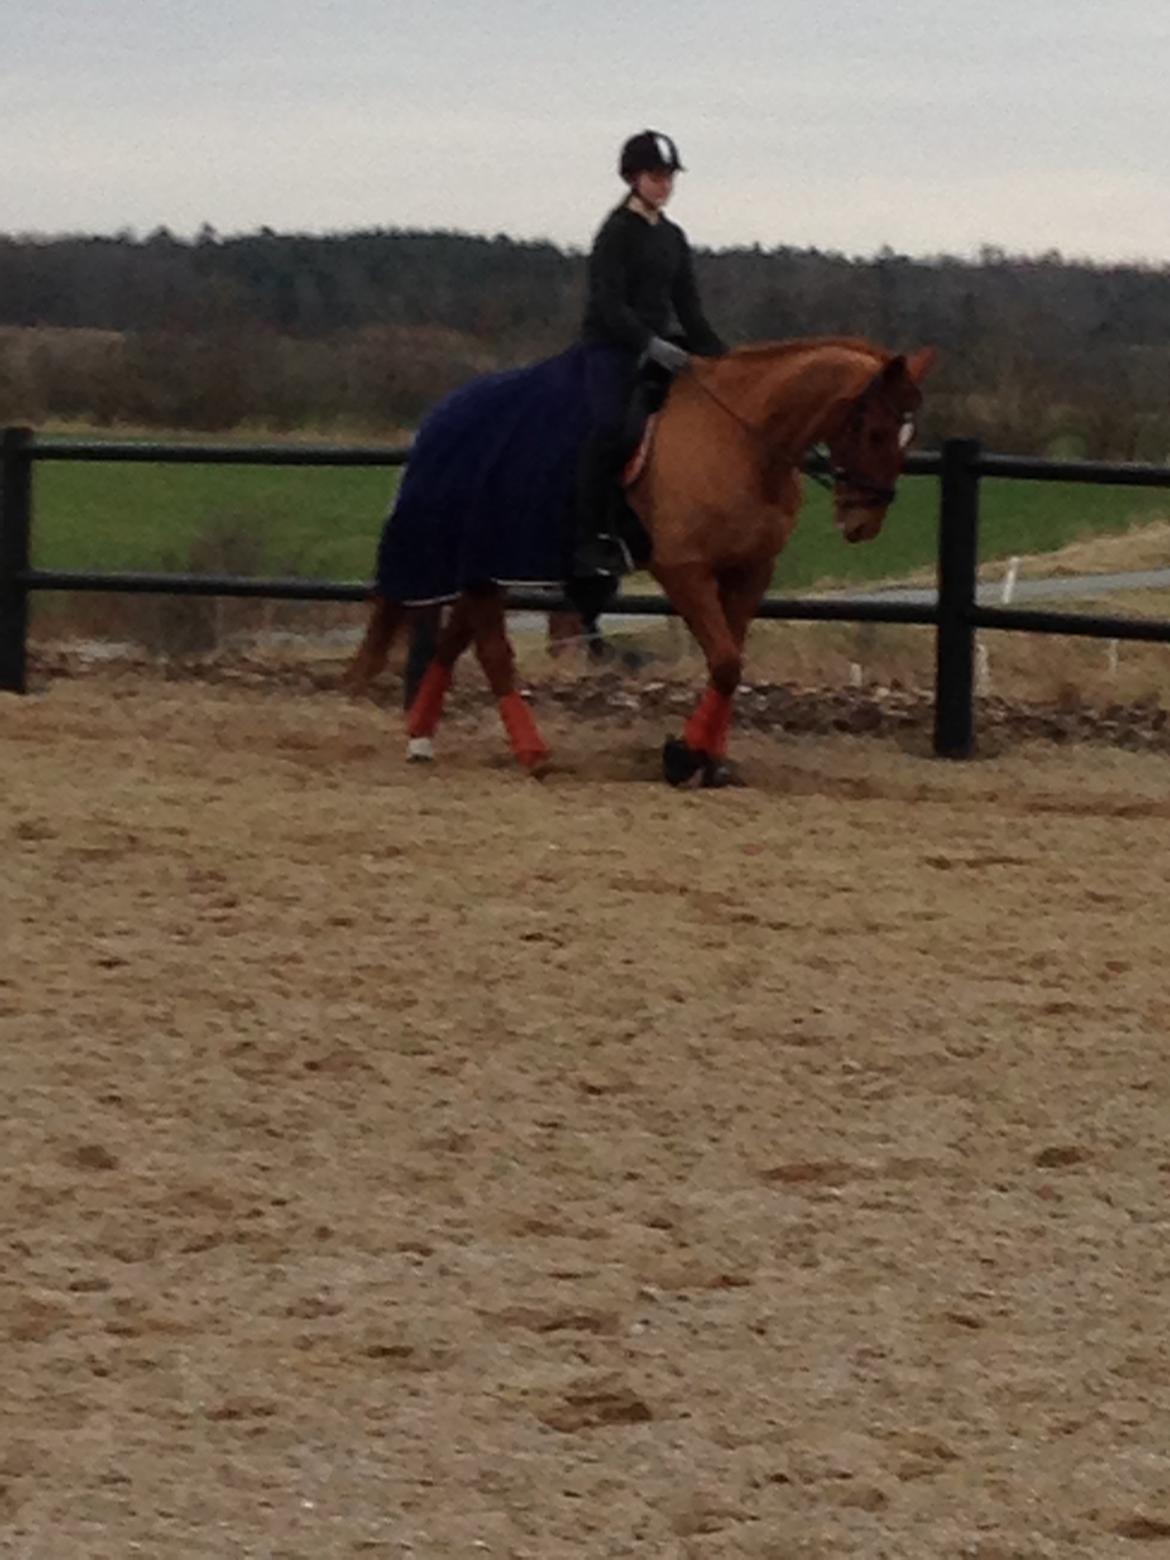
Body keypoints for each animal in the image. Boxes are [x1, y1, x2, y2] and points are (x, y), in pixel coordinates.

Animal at [346, 335, 935, 786]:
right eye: (874, 430)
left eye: (909, 436)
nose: (863, 523)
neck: (741, 440)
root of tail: (440, 418)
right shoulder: (684, 570)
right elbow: (725, 662)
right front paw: (683, 757)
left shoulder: (749, 572)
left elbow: (730, 661)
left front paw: (712, 760)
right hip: (485, 563)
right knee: (493, 652)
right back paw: (531, 753)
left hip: (485, 564)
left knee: (456, 640)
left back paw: (421, 739)